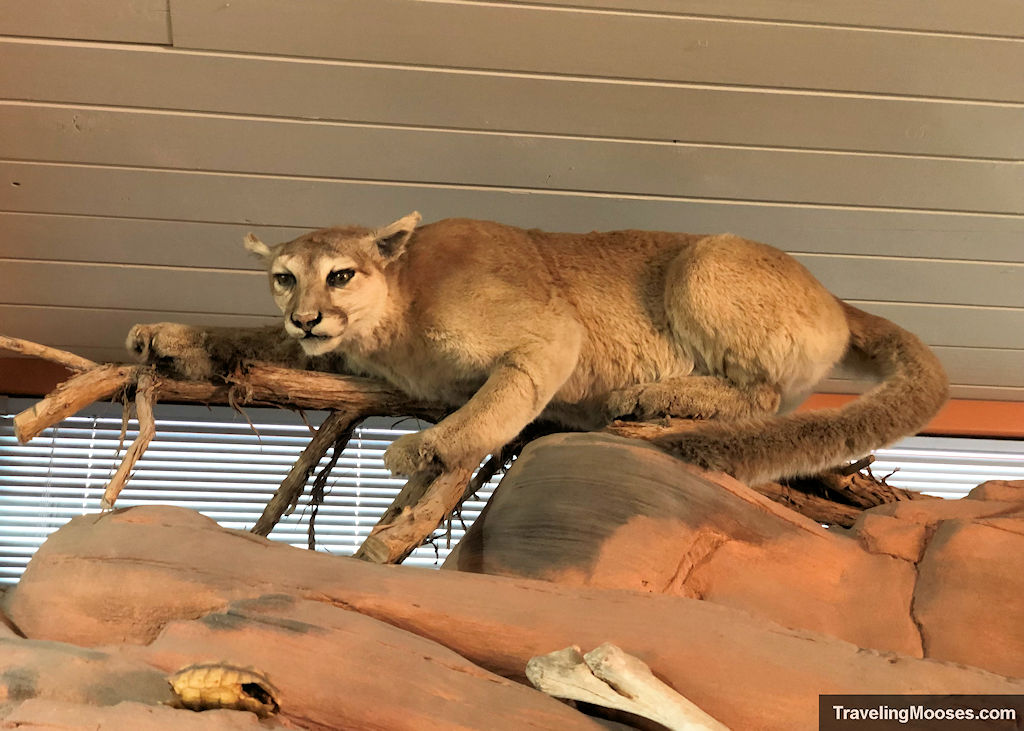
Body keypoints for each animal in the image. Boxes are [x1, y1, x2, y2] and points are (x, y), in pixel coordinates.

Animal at [130, 211, 950, 483]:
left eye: (341, 274)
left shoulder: (548, 333)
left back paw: (658, 392)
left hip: (705, 259)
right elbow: (253, 340)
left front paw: (429, 447)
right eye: (283, 276)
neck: (393, 318)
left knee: (763, 394)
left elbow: (503, 396)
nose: (309, 317)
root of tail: (833, 296)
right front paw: (169, 339)